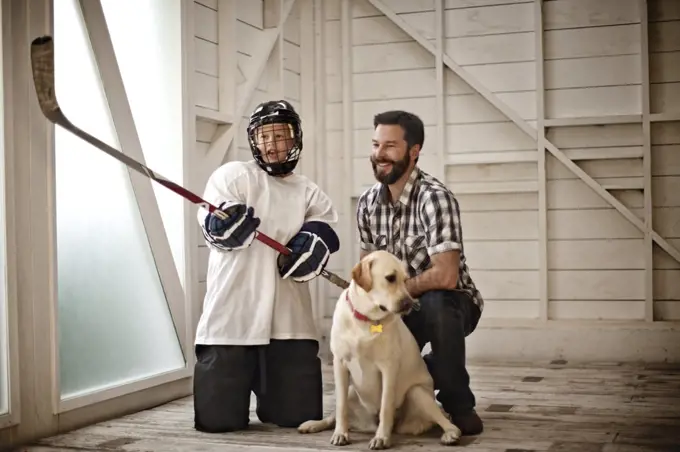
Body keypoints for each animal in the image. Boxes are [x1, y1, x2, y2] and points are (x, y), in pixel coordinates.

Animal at [298, 251, 462, 448]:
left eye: (406, 280)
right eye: (390, 278)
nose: (409, 303)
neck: (366, 319)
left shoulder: (388, 368)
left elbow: (385, 406)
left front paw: (381, 438)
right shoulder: (340, 364)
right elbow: (340, 407)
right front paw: (340, 434)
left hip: (417, 393)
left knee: (445, 421)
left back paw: (450, 434)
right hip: (352, 391)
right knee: (333, 416)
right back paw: (313, 424)